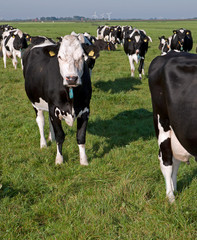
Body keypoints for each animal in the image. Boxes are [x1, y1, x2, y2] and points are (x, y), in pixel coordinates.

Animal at [22, 34, 99, 165]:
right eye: (59, 57)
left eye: (82, 56)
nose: (71, 78)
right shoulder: (54, 108)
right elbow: (60, 136)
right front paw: (59, 160)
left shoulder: (85, 109)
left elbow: (81, 136)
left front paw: (84, 161)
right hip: (36, 103)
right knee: (41, 121)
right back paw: (43, 143)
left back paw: (50, 137)